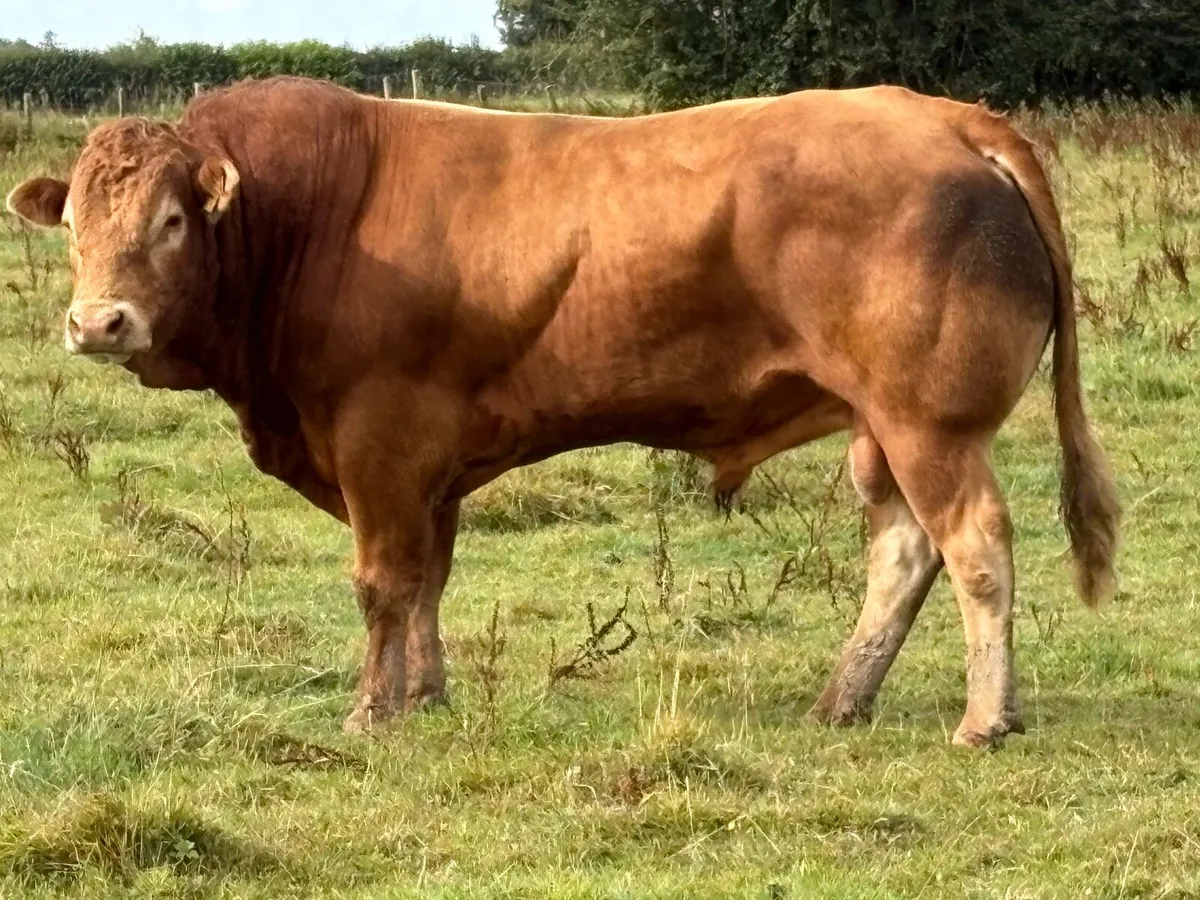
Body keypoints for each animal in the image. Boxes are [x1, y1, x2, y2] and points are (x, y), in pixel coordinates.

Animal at [6, 76, 1119, 748]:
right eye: (72, 226)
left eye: (172, 220)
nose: (98, 321)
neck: (312, 216)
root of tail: (942, 113)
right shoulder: (431, 462)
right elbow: (427, 583)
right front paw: (428, 695)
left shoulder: (379, 440)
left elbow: (381, 585)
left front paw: (372, 712)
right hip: (875, 430)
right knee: (903, 549)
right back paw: (843, 699)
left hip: (930, 423)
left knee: (976, 545)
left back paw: (985, 717)